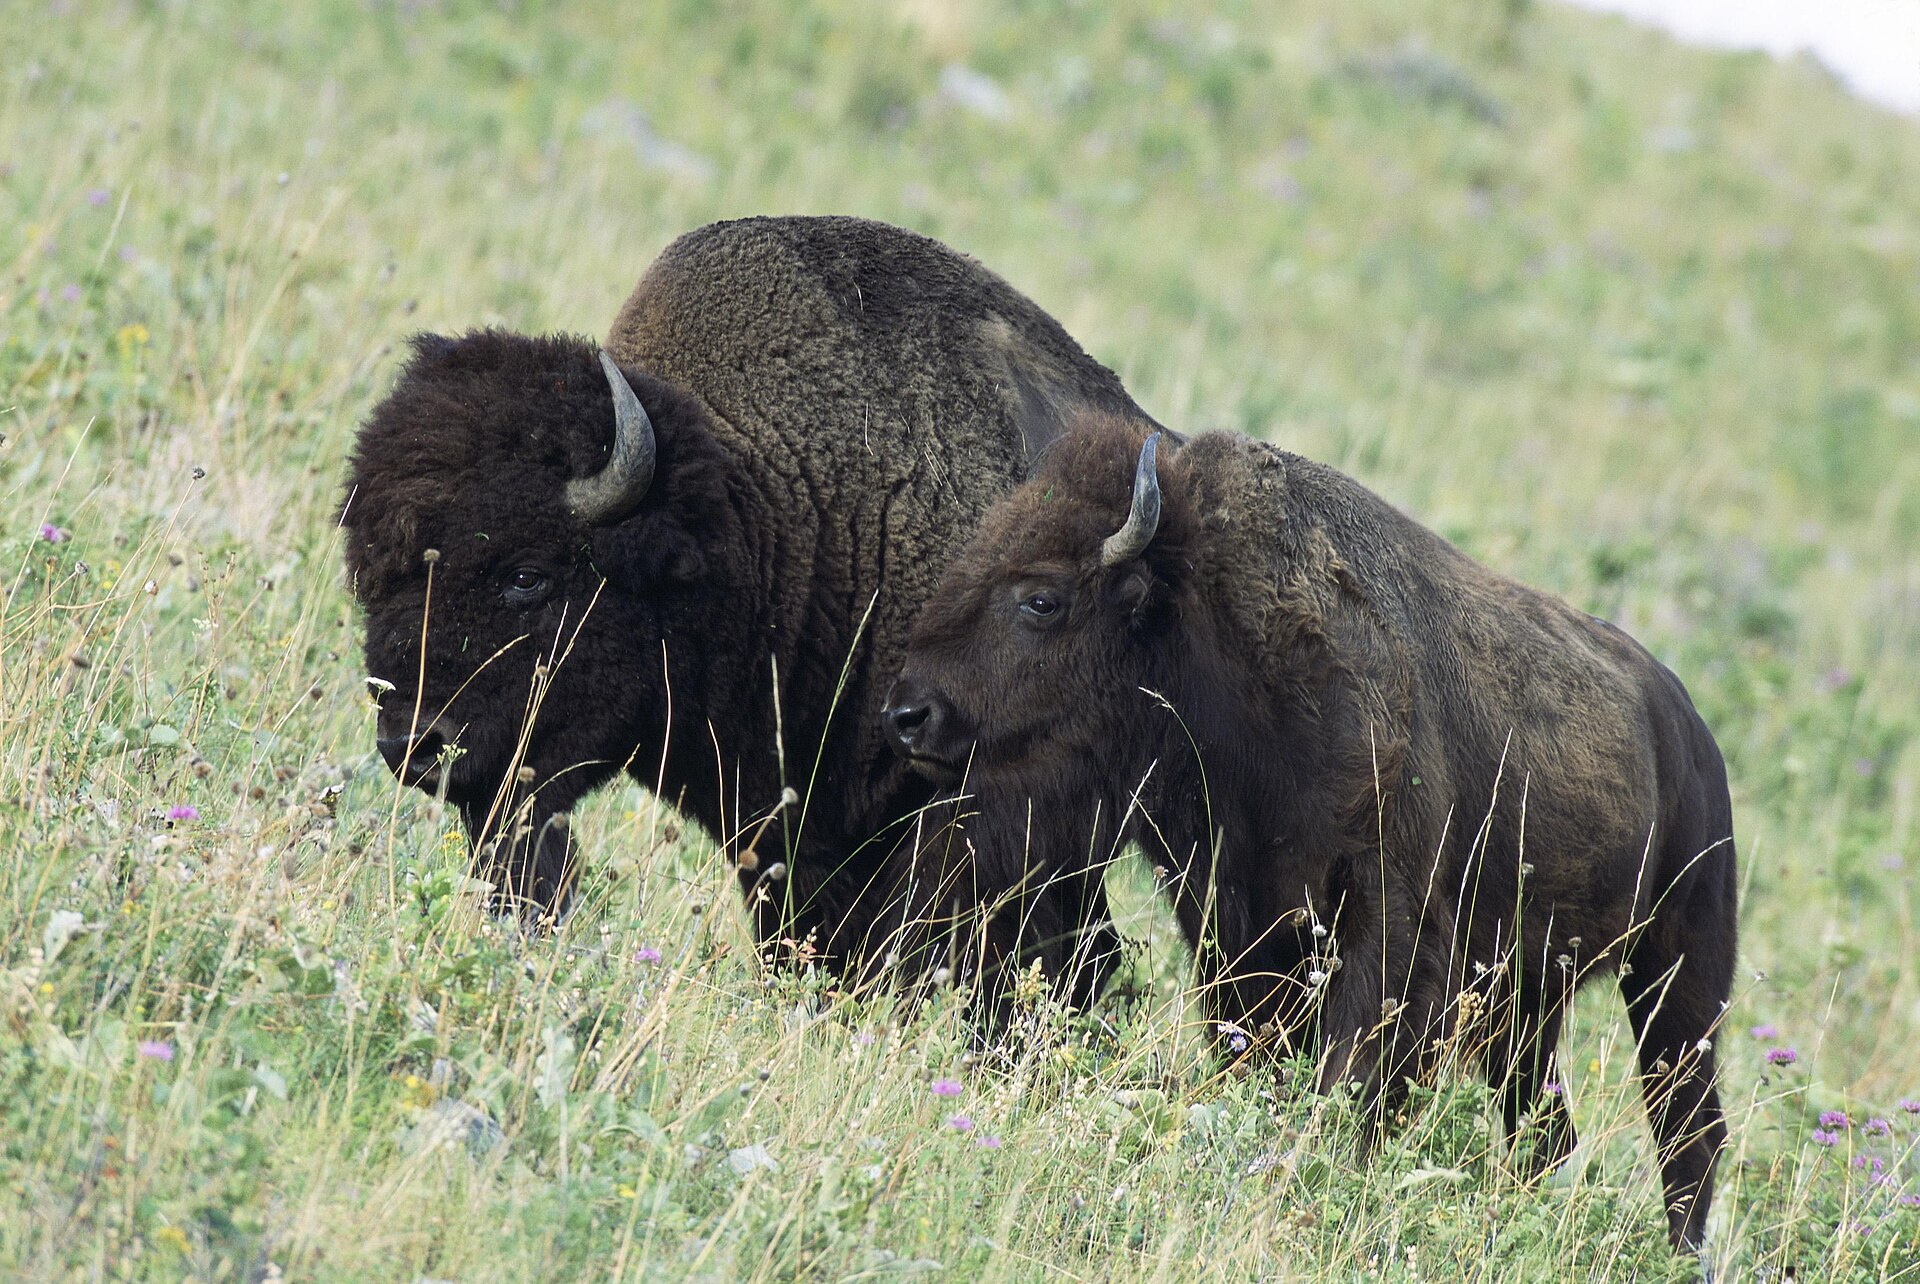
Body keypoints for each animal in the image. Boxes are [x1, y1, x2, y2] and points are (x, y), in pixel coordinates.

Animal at [885, 414, 1737, 1250]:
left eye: (1042, 599)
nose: (908, 714)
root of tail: (1690, 729)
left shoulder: (1387, 927)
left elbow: (1351, 1078)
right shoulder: (1235, 927)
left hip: (1677, 975)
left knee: (1688, 1127)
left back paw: (1679, 1251)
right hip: (1530, 1003)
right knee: (1545, 1126)